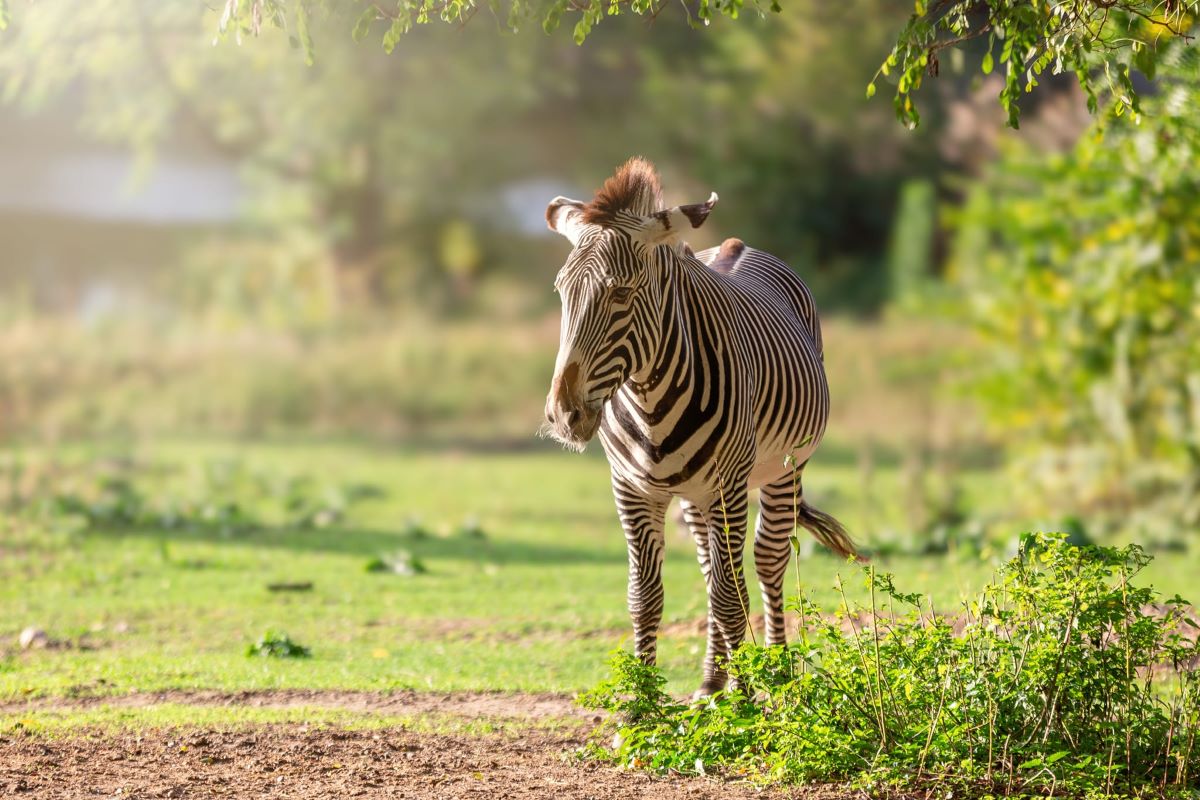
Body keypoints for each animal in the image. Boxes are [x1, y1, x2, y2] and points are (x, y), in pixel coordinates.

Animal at [542, 157, 859, 696]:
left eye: (621, 293)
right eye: (563, 292)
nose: (564, 415)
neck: (649, 399)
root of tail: (736, 244)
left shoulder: (729, 485)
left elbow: (732, 598)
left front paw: (746, 698)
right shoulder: (631, 487)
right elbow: (645, 596)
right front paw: (644, 701)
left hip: (782, 471)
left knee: (766, 563)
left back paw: (776, 675)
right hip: (695, 494)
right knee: (714, 572)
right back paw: (713, 681)